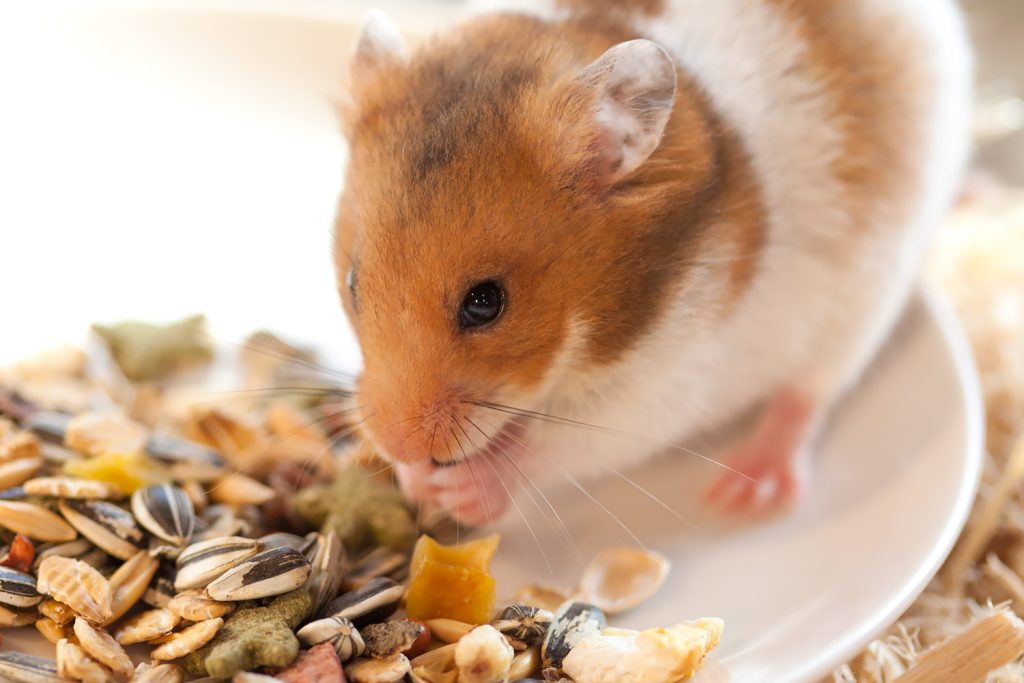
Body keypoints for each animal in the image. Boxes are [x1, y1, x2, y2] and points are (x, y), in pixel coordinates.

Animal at [333, 0, 966, 524]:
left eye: (486, 303)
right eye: (353, 283)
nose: (400, 445)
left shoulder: (671, 380)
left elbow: (565, 443)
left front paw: (460, 489)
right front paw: (416, 482)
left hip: (867, 300)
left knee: (808, 395)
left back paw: (750, 491)